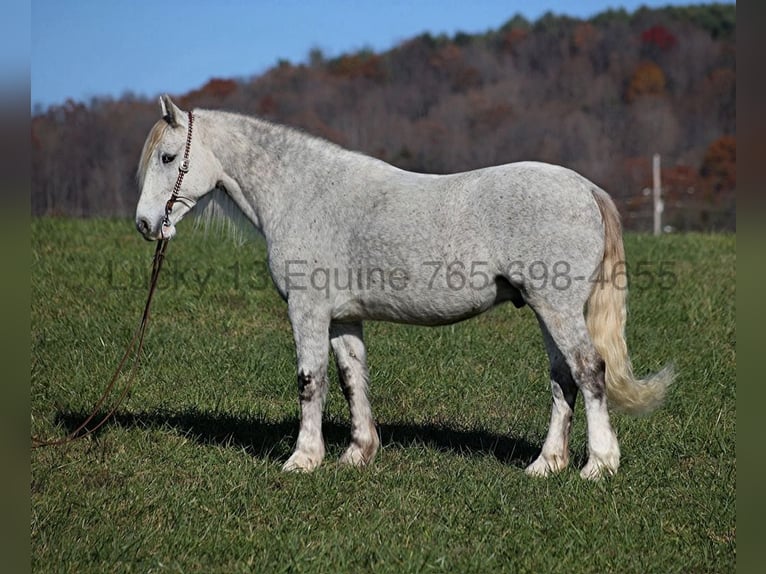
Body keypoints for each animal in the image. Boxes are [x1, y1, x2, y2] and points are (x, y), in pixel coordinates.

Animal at [135, 95, 673, 479]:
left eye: (168, 157)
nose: (145, 224)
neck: (303, 192)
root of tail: (586, 188)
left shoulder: (308, 311)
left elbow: (310, 381)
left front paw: (302, 460)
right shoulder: (343, 317)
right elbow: (351, 379)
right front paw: (357, 454)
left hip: (558, 308)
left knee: (590, 371)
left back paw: (598, 465)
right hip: (547, 310)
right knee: (563, 378)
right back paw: (545, 464)